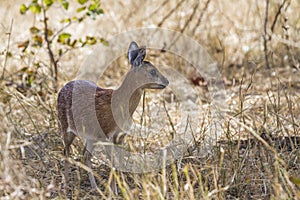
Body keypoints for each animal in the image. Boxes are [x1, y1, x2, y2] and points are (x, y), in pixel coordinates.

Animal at [56, 41, 169, 192]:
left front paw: (120, 189)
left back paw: (94, 188)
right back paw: (66, 184)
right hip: (65, 127)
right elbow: (113, 163)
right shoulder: (107, 134)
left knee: (85, 155)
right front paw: (114, 191)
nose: (167, 81)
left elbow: (119, 163)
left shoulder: (120, 136)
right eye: (152, 71)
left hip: (91, 136)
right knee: (67, 152)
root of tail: (62, 89)